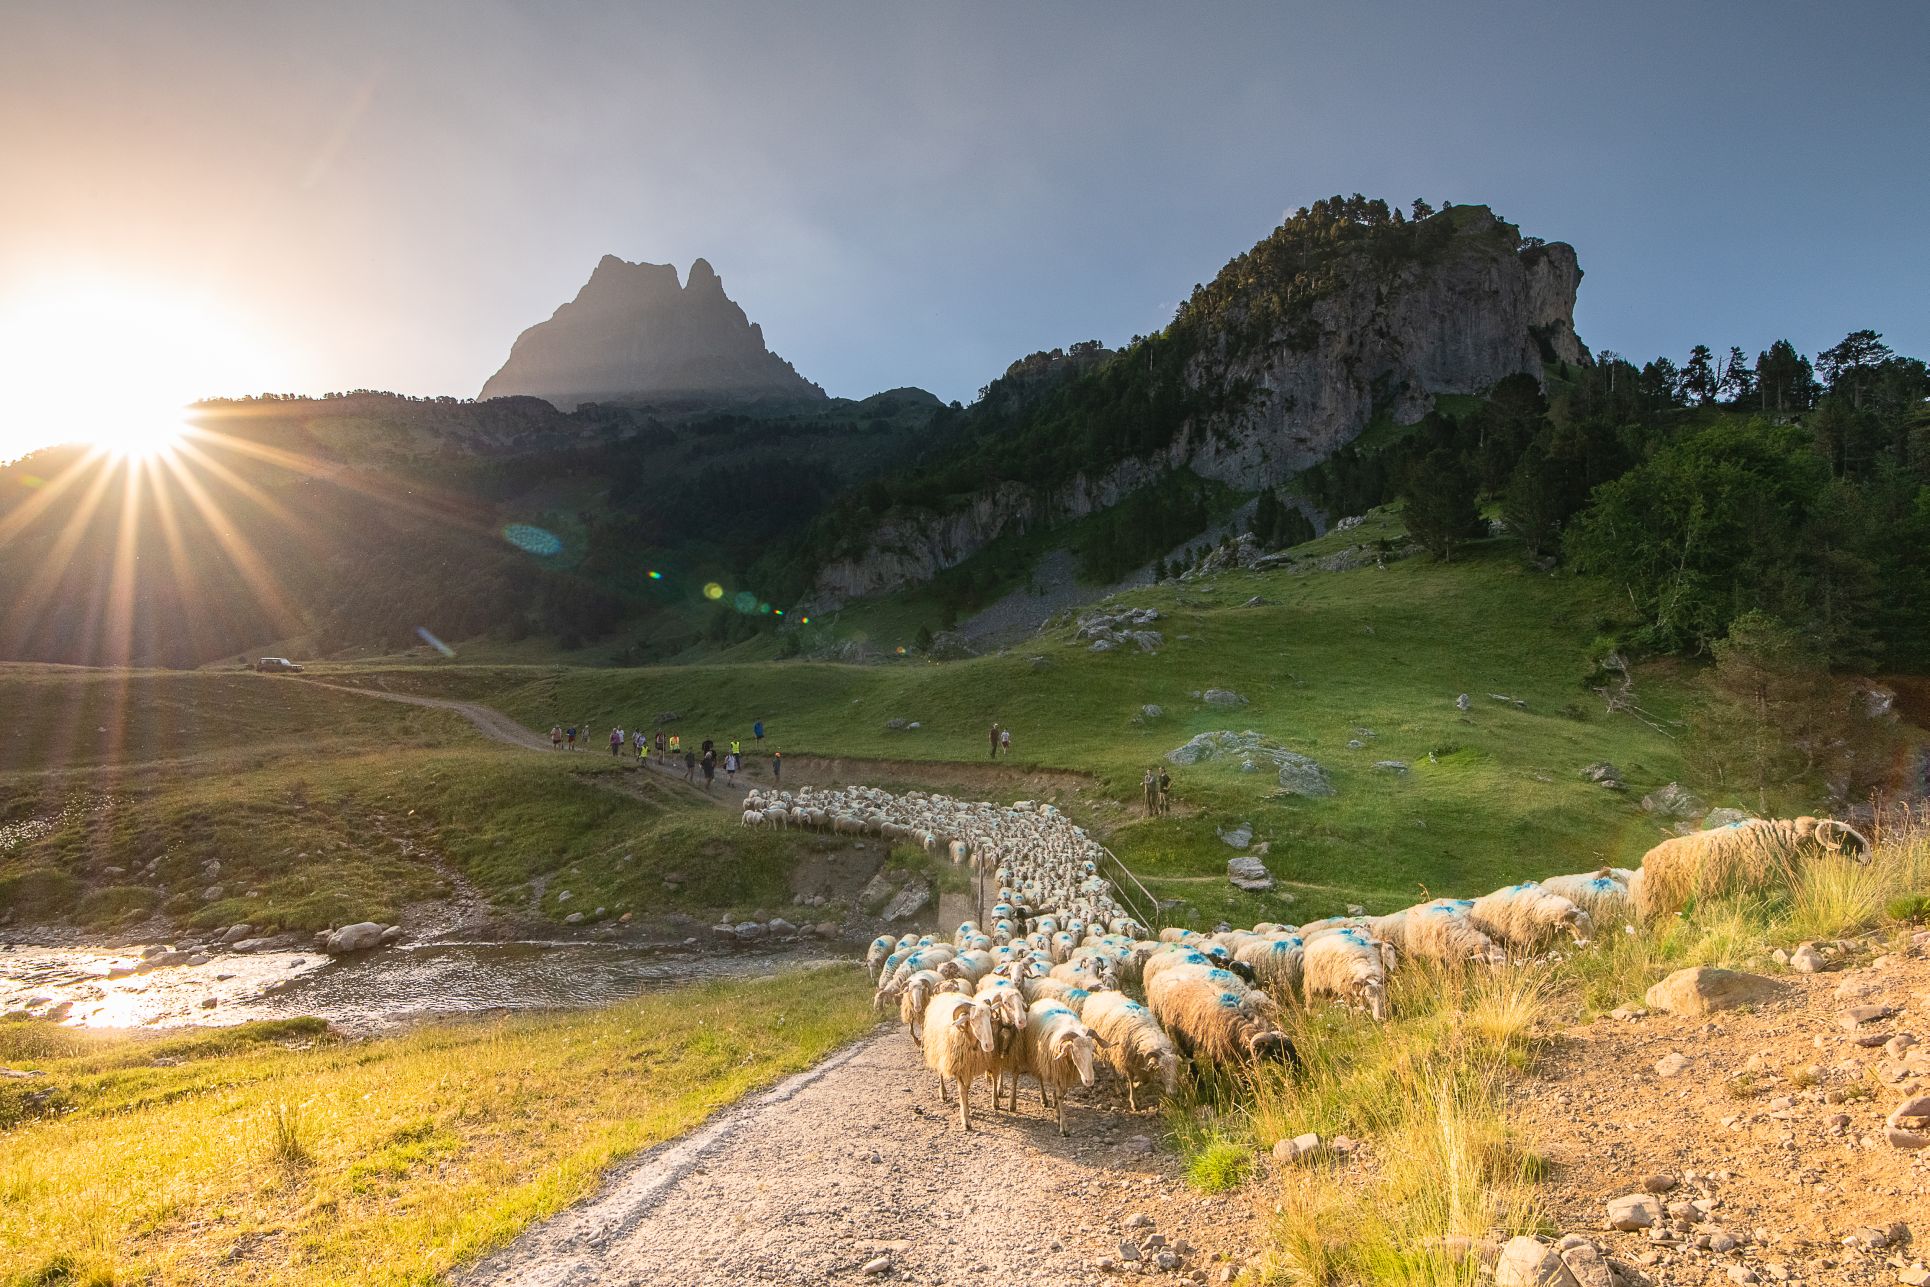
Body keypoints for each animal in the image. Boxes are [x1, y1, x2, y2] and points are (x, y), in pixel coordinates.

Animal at [922, 995, 995, 1134]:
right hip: (938, 1051)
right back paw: (943, 1093)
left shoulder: (968, 1067)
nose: (989, 1045)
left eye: (990, 1017)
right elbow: (962, 1091)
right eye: (973, 1019)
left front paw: (967, 1108)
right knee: (940, 1073)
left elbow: (967, 1089)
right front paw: (965, 1120)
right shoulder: (958, 1067)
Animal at [1019, 995, 1096, 1134]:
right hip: (1036, 1057)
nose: (1089, 1081)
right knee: (1040, 1078)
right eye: (1075, 1051)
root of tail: (1044, 999)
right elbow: (1060, 1095)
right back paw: (1044, 1099)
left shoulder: (1064, 1072)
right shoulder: (1055, 1069)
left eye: (1092, 1050)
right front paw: (1063, 1126)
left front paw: (1058, 1113)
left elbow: (1062, 1093)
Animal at [1628, 814, 1868, 926]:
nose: (1869, 857)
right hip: (1651, 905)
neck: (1784, 840)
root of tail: (1641, 866)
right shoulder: (1760, 881)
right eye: (1841, 834)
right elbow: (1767, 905)